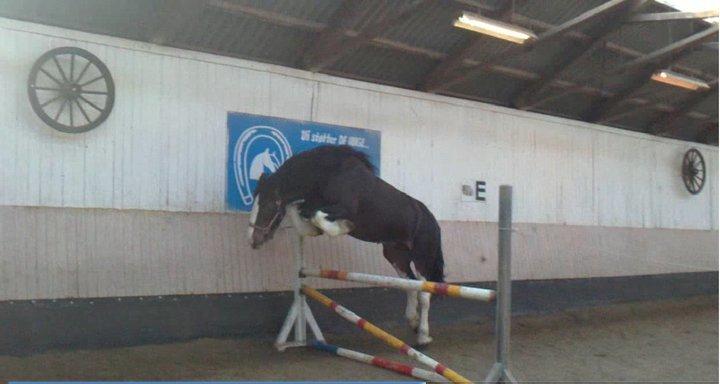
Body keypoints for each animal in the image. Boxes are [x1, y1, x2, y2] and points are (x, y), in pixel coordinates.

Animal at [250, 145, 448, 348]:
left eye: (268, 205)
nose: (253, 239)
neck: (329, 176)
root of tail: (432, 221)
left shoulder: (344, 209)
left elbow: (318, 216)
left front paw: (344, 227)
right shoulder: (309, 215)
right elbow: (305, 218)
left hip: (422, 258)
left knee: (424, 294)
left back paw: (423, 336)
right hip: (396, 256)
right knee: (410, 284)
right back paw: (413, 322)